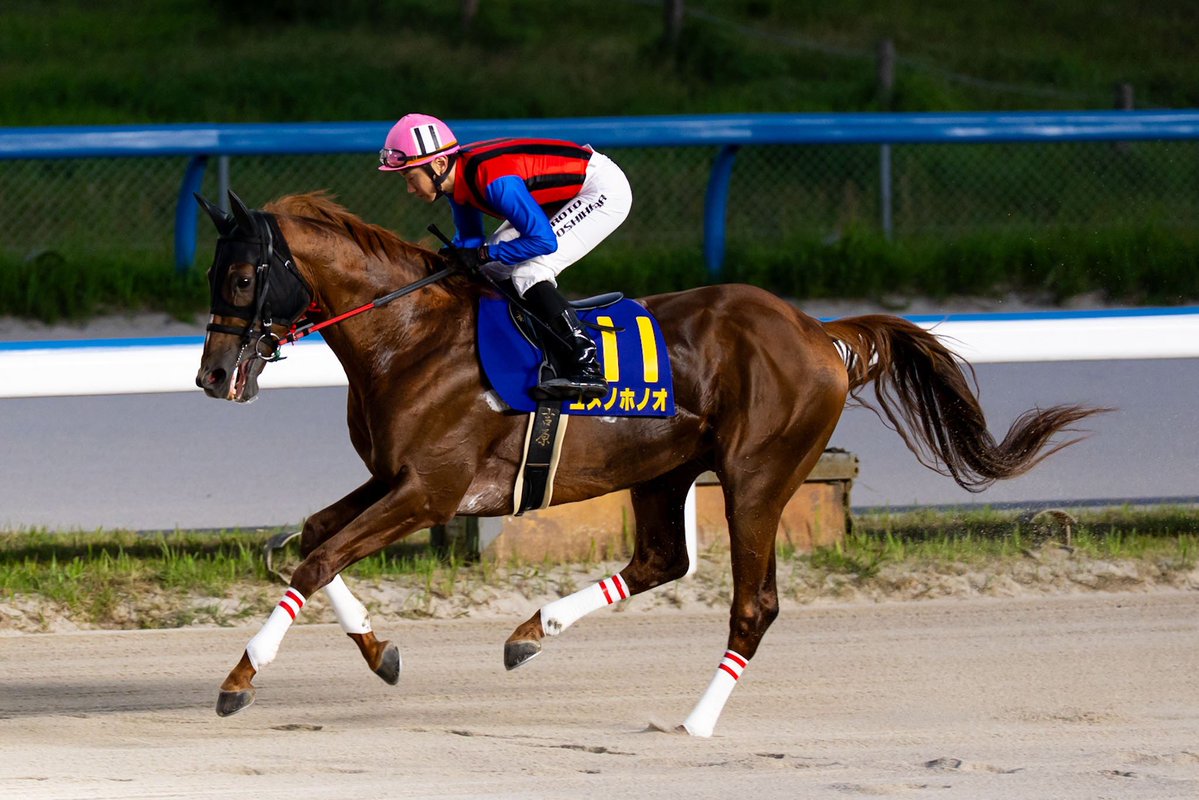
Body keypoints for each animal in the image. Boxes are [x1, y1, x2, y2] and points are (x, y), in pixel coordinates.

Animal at [194, 190, 1102, 736]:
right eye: (212, 274)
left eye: (240, 277)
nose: (211, 375)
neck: (410, 337)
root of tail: (818, 333)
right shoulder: (394, 479)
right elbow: (309, 540)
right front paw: (379, 653)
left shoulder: (431, 491)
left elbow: (315, 559)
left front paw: (239, 681)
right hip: (667, 467)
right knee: (662, 558)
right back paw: (531, 634)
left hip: (757, 475)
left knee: (753, 603)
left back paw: (697, 720)